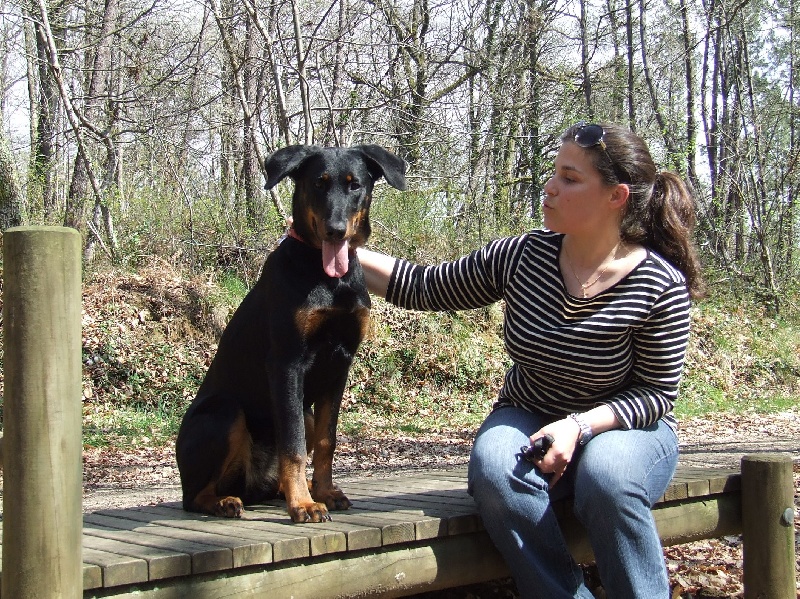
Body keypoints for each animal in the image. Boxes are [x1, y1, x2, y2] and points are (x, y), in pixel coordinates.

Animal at [176, 144, 406, 520]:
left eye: (354, 184)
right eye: (318, 183)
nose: (335, 230)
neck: (328, 279)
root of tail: (253, 486)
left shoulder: (339, 364)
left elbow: (327, 441)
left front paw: (324, 492)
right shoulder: (287, 363)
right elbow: (293, 446)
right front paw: (303, 504)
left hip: (305, 412)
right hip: (226, 412)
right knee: (195, 495)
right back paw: (227, 502)